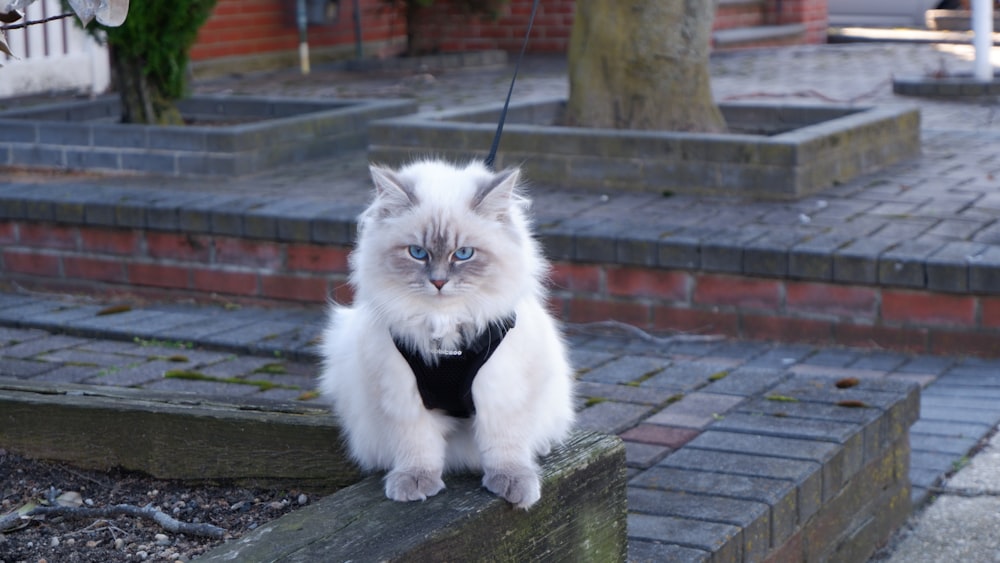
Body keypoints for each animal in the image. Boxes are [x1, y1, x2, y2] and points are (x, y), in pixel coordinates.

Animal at [316, 159, 576, 512]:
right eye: (417, 253)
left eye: (463, 254)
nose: (438, 282)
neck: (444, 328)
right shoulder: (404, 395)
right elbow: (418, 446)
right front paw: (415, 483)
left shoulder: (501, 390)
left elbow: (504, 444)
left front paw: (512, 484)